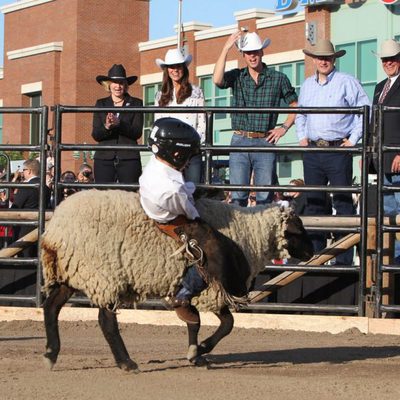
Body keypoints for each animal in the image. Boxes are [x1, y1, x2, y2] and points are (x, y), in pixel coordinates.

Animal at [42, 190, 314, 372]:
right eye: (298, 228)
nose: (311, 251)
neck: (249, 233)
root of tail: (55, 229)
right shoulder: (213, 289)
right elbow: (227, 324)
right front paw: (201, 349)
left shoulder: (195, 290)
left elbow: (193, 321)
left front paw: (195, 353)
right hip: (104, 274)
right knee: (106, 321)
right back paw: (126, 362)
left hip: (74, 271)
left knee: (51, 307)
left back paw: (50, 354)